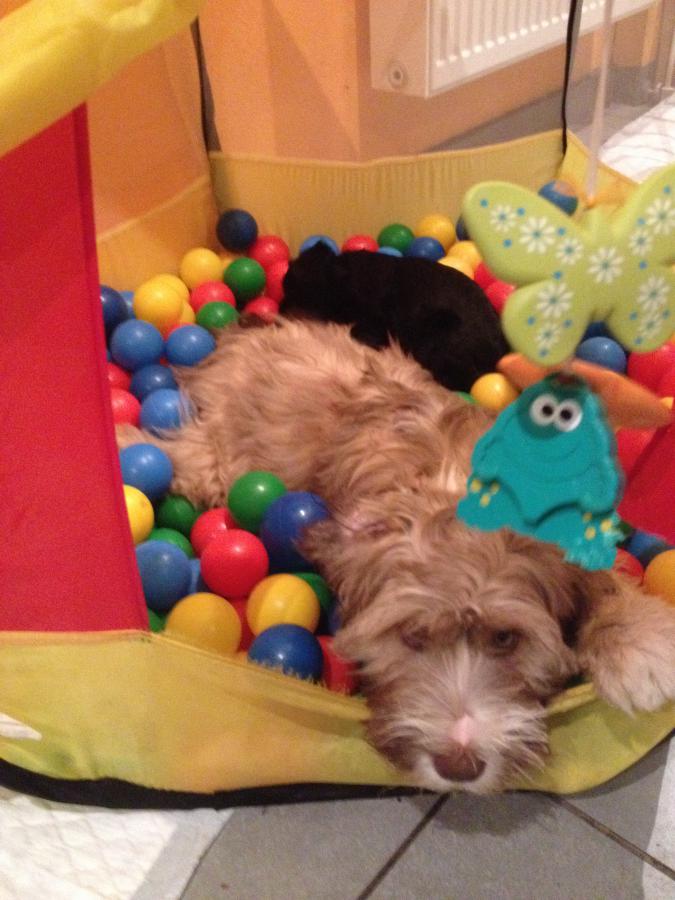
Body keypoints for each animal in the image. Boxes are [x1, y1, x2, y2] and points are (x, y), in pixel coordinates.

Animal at [118, 317, 675, 793]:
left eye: (505, 638)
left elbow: (603, 580)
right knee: (181, 455)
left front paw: (636, 639)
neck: (453, 494)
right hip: (216, 460)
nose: (459, 765)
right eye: (411, 636)